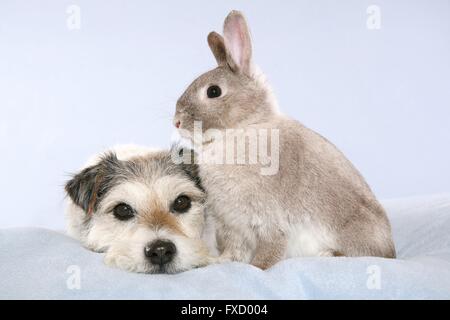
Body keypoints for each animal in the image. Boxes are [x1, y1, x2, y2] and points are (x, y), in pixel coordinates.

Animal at [172, 10, 394, 270]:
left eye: (214, 91)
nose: (176, 122)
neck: (244, 127)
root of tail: (392, 251)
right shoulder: (233, 226)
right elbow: (234, 252)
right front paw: (220, 263)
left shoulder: (268, 222)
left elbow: (270, 251)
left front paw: (257, 268)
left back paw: (327, 255)